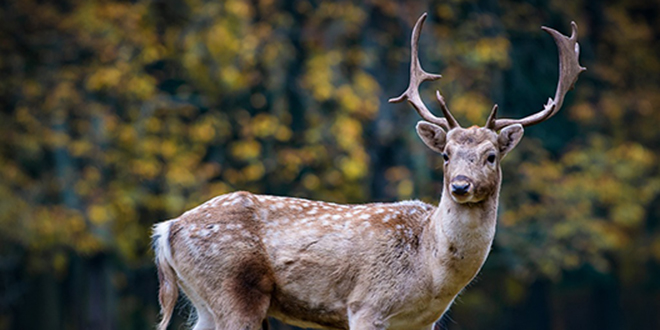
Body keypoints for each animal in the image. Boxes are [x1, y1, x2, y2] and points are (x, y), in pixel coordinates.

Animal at [152, 12, 584, 330]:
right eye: (446, 154)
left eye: (491, 155)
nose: (461, 186)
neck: (430, 271)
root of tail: (167, 229)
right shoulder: (366, 305)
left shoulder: (420, 324)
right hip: (234, 290)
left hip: (206, 302)